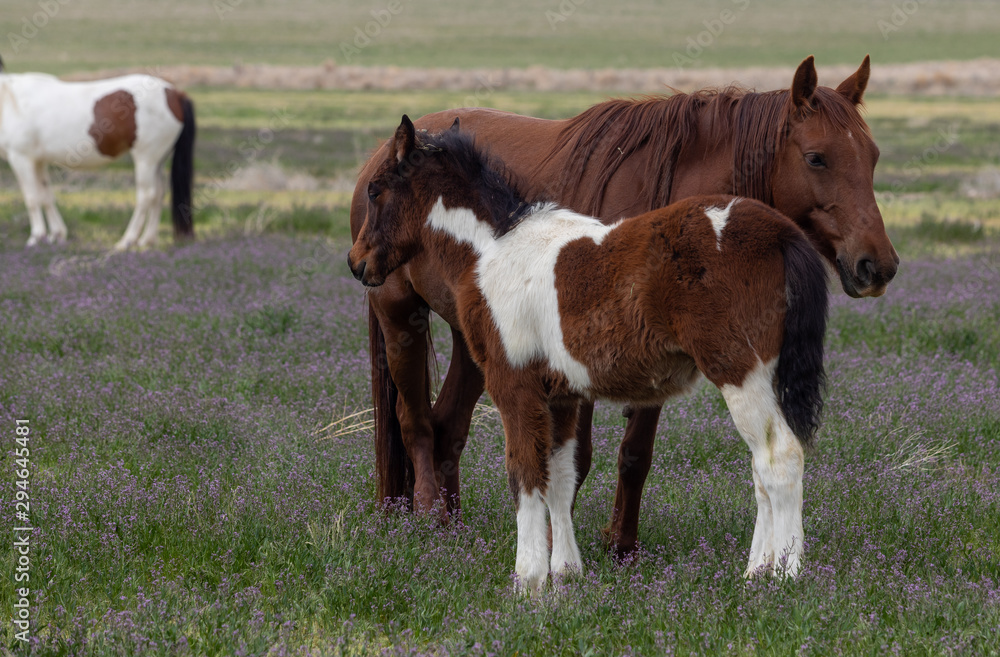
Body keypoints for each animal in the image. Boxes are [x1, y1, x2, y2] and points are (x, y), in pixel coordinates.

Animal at [0, 59, 195, 249]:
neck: (9, 100)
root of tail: (174, 94)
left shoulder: (21, 158)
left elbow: (32, 198)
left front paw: (36, 237)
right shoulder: (38, 161)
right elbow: (46, 196)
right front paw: (57, 235)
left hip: (145, 159)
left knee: (147, 195)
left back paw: (127, 240)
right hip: (157, 161)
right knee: (159, 194)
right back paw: (147, 239)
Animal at [350, 56, 896, 556]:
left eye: (873, 157)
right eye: (817, 158)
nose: (878, 266)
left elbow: (634, 453)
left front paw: (620, 546)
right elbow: (575, 458)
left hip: (472, 344)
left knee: (447, 425)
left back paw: (455, 525)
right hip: (400, 316)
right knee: (416, 422)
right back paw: (428, 517)